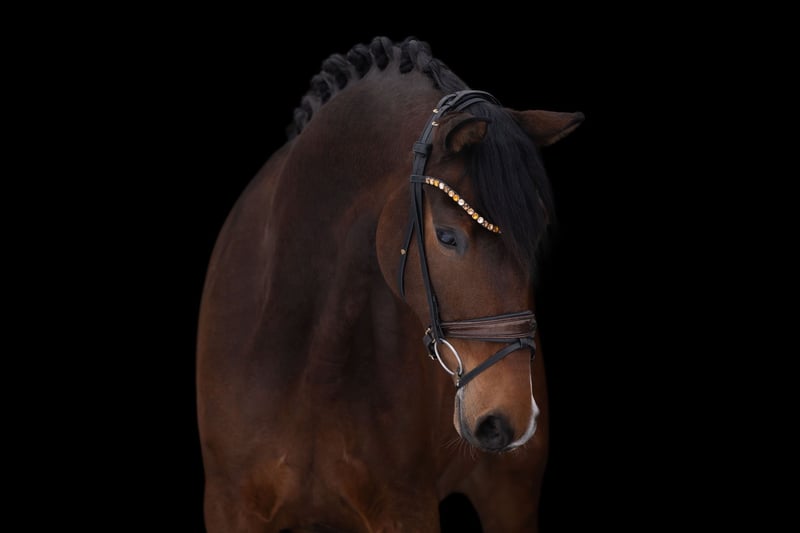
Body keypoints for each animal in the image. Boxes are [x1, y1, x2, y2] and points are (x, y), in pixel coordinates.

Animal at [196, 36, 583, 532]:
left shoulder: (407, 507)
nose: (510, 418)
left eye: (533, 238)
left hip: (510, 494)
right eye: (447, 236)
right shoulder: (229, 506)